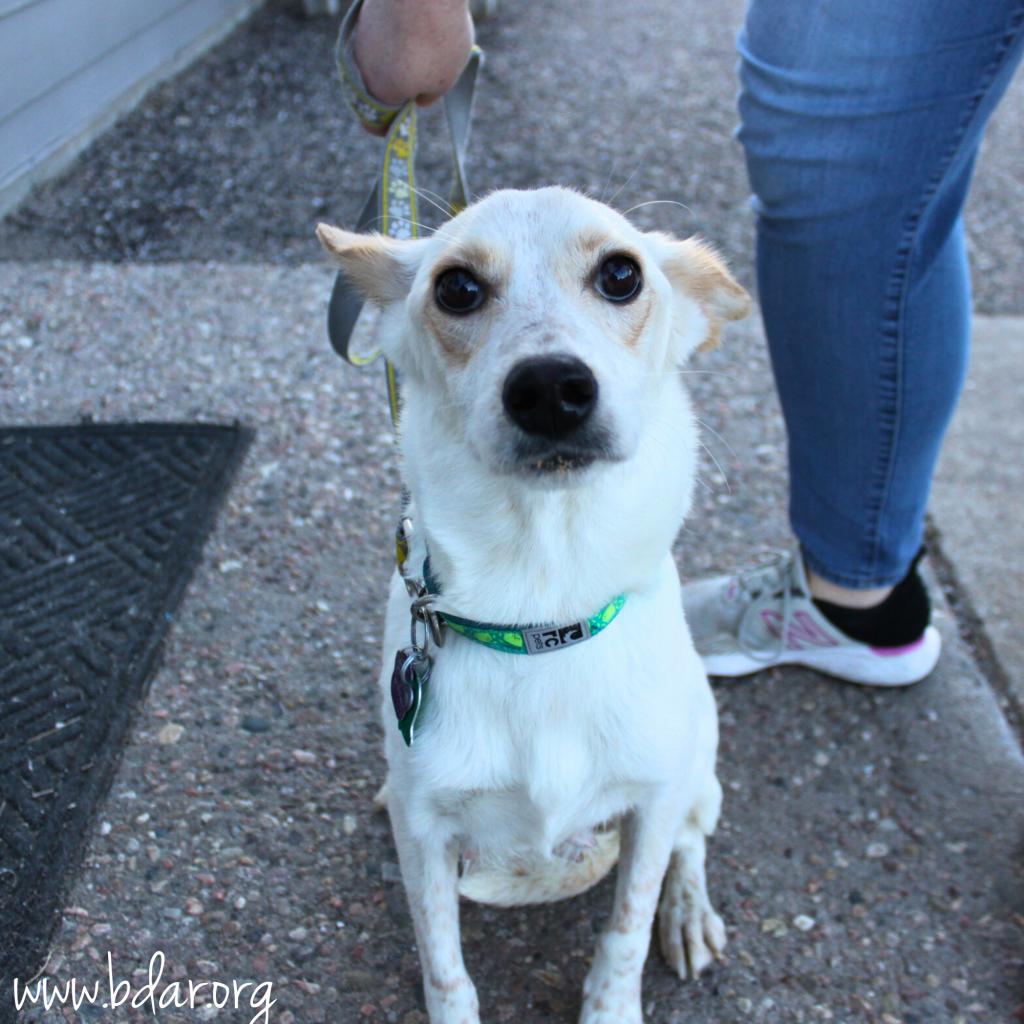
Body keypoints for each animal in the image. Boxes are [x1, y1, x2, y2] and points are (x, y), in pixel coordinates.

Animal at [319, 186, 753, 1024]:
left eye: (621, 274)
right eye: (456, 287)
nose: (550, 386)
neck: (541, 612)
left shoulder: (653, 800)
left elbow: (626, 927)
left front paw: (613, 1005)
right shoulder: (423, 830)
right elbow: (444, 965)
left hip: (701, 762)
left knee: (691, 844)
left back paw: (688, 915)